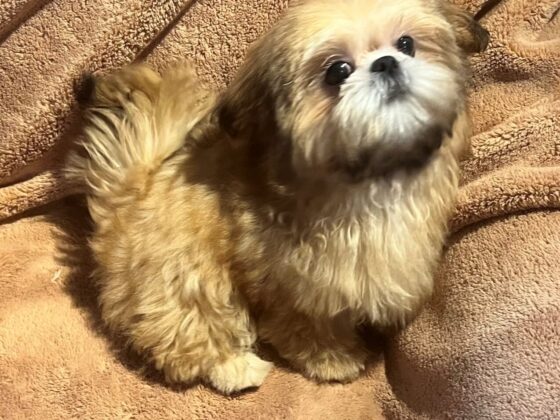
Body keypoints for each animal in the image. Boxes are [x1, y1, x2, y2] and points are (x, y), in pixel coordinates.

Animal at [68, 0, 490, 394]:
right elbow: (307, 327)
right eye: (337, 71)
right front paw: (333, 360)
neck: (369, 176)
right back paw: (235, 367)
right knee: (188, 332)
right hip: (185, 277)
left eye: (406, 44)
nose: (386, 63)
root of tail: (131, 194)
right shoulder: (292, 286)